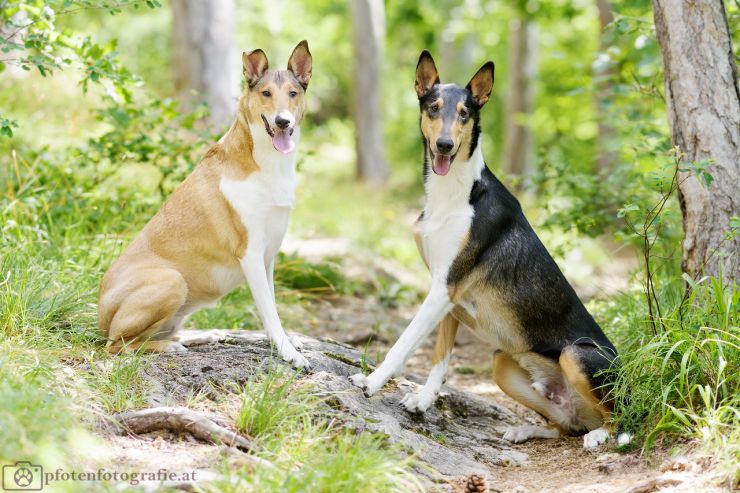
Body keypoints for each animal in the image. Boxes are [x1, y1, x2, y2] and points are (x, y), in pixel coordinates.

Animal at [97, 41, 312, 366]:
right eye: (265, 94)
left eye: (293, 93)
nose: (282, 121)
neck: (265, 162)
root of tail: (98, 319)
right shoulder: (251, 254)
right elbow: (269, 311)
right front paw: (289, 353)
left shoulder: (268, 256)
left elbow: (272, 307)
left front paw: (288, 343)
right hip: (171, 280)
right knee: (119, 345)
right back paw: (169, 347)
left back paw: (198, 336)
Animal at [350, 50, 620, 446]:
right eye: (434, 107)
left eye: (465, 113)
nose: (445, 145)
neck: (453, 194)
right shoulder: (447, 294)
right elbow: (440, 358)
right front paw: (424, 401)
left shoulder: (443, 288)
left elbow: (405, 343)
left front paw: (371, 382)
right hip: (502, 362)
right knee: (567, 424)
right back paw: (524, 429)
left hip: (575, 355)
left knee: (620, 416)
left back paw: (603, 436)